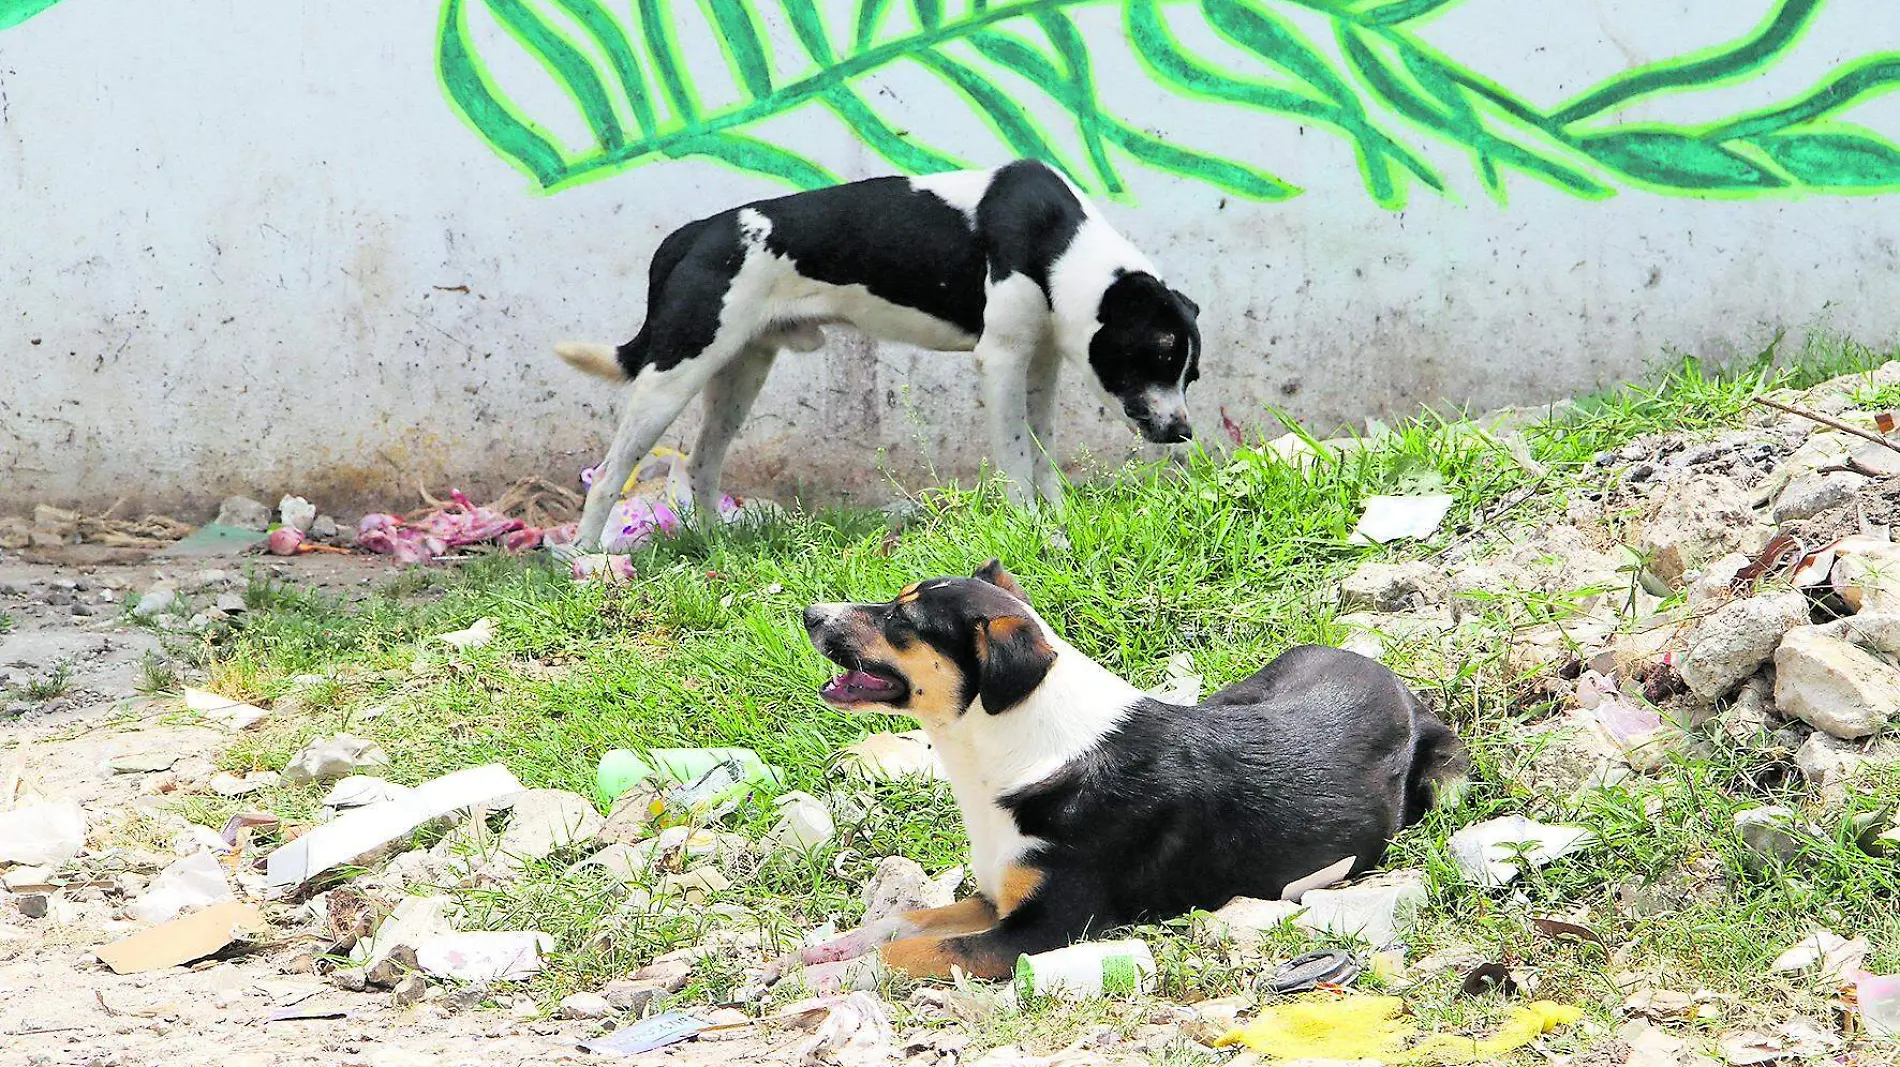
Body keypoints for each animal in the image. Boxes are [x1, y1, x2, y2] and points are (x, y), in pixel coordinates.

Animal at [554, 164, 1200, 558]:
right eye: (1159, 355)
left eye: (1190, 373)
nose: (1183, 432)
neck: (1057, 243)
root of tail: (689, 237)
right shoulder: (1001, 362)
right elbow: (1018, 464)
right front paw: (1030, 532)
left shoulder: (1040, 366)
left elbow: (1043, 458)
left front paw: (1059, 524)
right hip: (675, 373)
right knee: (609, 474)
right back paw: (586, 560)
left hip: (740, 372)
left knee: (700, 464)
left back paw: (715, 546)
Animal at [779, 561, 1474, 987]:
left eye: (901, 622)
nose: (808, 612)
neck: (1012, 748)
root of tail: (1384, 673)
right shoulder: (995, 897)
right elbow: (908, 922)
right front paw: (831, 950)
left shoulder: (1040, 932)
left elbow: (911, 948)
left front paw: (829, 977)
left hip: (1448, 778)